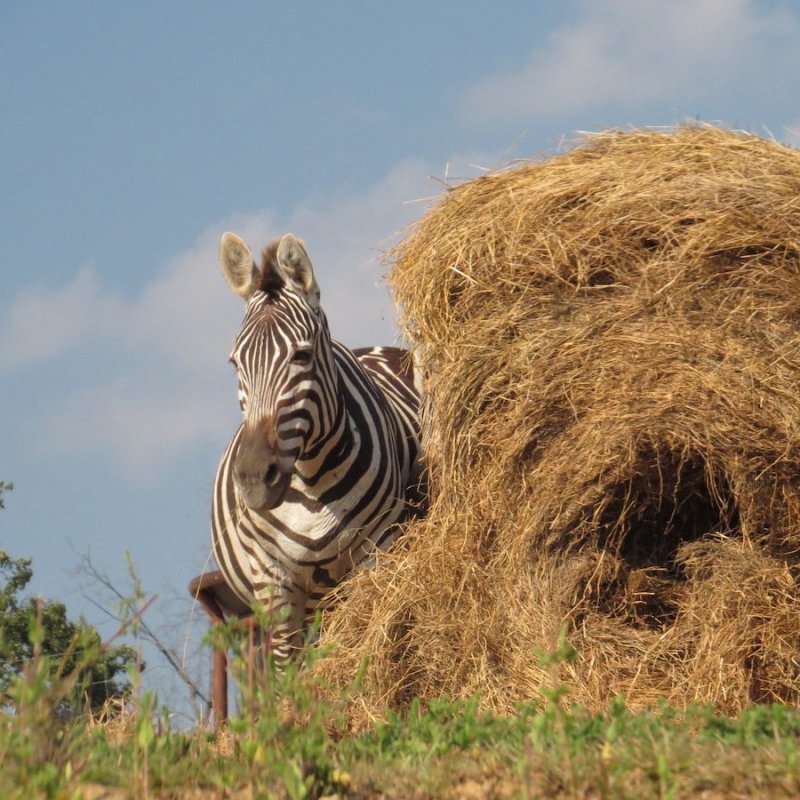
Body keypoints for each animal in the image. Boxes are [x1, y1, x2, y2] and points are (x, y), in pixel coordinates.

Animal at [211, 231, 424, 664]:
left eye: (302, 355)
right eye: (235, 363)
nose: (254, 479)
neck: (310, 482)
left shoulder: (376, 550)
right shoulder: (272, 581)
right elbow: (288, 672)